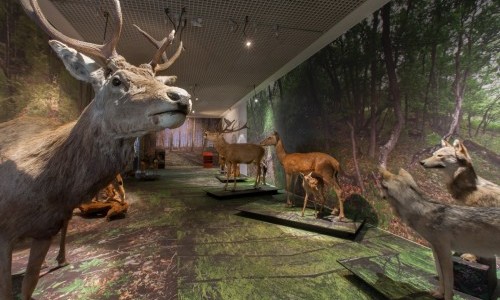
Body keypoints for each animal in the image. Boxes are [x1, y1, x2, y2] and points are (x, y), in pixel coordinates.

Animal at [0, 1, 191, 298]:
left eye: (156, 79)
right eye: (116, 81)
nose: (182, 97)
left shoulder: (45, 230)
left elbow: (29, 286)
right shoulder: (4, 237)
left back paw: (62, 258)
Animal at [380, 168, 498, 300]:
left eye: (380, 186)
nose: (379, 195)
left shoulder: (445, 252)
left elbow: (448, 283)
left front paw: (446, 296)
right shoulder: (435, 249)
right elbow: (440, 276)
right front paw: (439, 293)